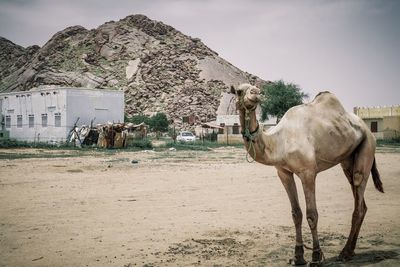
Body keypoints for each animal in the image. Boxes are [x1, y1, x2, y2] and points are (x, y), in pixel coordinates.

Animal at [231, 83, 384, 266]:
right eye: (239, 91)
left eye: (256, 89)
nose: (255, 94)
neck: (279, 142)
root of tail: (367, 130)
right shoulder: (283, 172)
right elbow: (296, 214)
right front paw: (298, 256)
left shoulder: (308, 172)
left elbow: (312, 214)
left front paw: (316, 256)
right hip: (348, 159)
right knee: (359, 198)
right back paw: (351, 251)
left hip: (367, 147)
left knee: (359, 190)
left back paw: (345, 252)